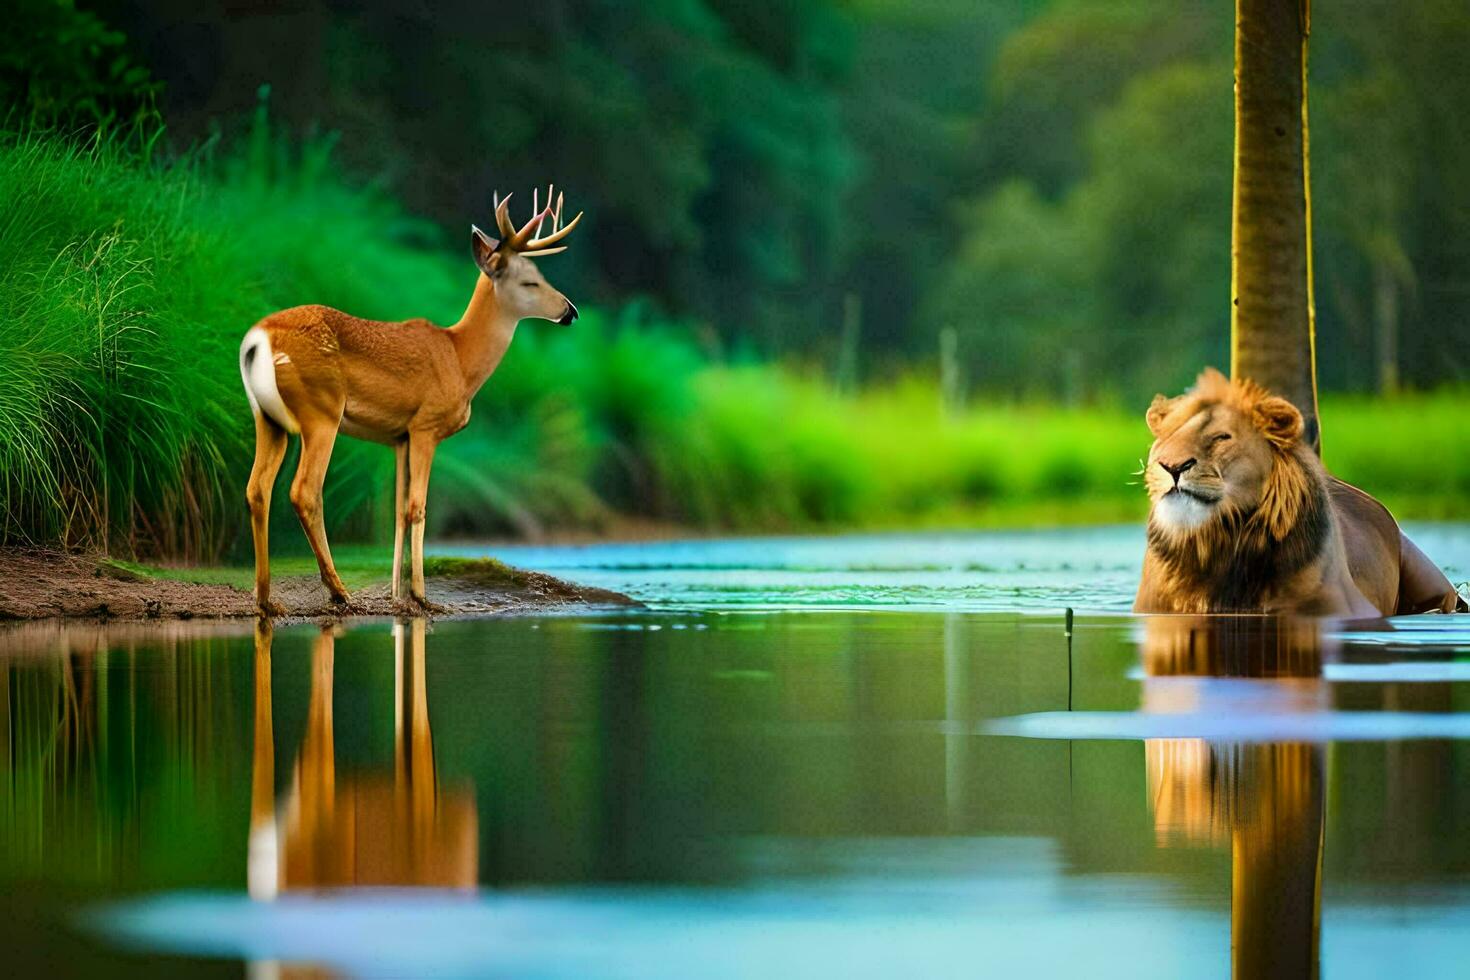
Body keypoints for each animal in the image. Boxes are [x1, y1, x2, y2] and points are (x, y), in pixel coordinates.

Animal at [236, 188, 579, 614]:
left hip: (267, 418)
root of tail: (257, 339)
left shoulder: (397, 437)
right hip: (321, 411)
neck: (460, 358)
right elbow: (418, 507)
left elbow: (398, 513)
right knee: (304, 491)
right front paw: (421, 595)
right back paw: (338, 591)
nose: (570, 311)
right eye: (531, 281)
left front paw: (397, 595)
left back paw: (266, 598)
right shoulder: (425, 426)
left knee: (257, 490)